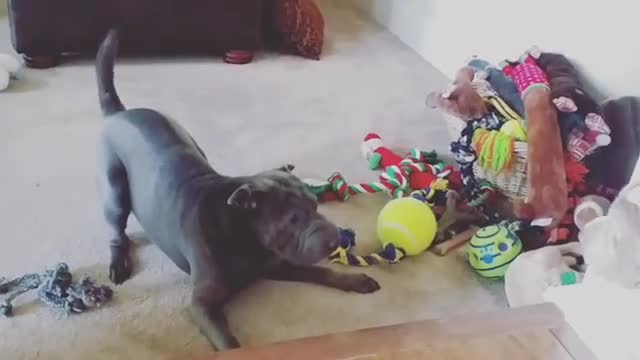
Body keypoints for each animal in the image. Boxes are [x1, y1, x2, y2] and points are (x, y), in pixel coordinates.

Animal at [95, 29, 380, 350]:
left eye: (314, 204)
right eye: (292, 219)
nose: (336, 239)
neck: (243, 233)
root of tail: (119, 114)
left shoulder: (277, 263)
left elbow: (321, 270)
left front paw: (355, 280)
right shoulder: (202, 303)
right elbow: (229, 342)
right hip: (115, 190)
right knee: (116, 231)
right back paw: (118, 263)